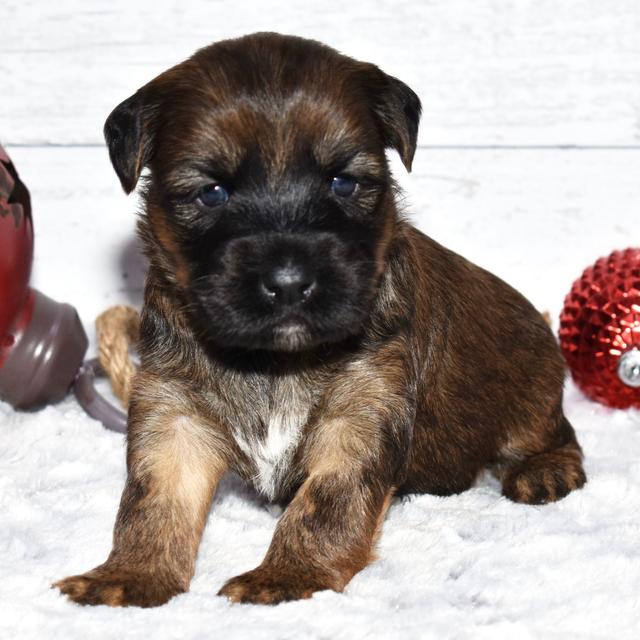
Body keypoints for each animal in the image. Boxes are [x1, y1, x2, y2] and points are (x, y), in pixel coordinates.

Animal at [55, 32, 584, 608]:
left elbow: (322, 507)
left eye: (343, 183)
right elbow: (151, 503)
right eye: (212, 192)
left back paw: (545, 471)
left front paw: (285, 575)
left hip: (530, 394)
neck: (274, 361)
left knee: (557, 434)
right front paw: (129, 575)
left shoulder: (362, 417)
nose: (289, 283)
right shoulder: (174, 417)